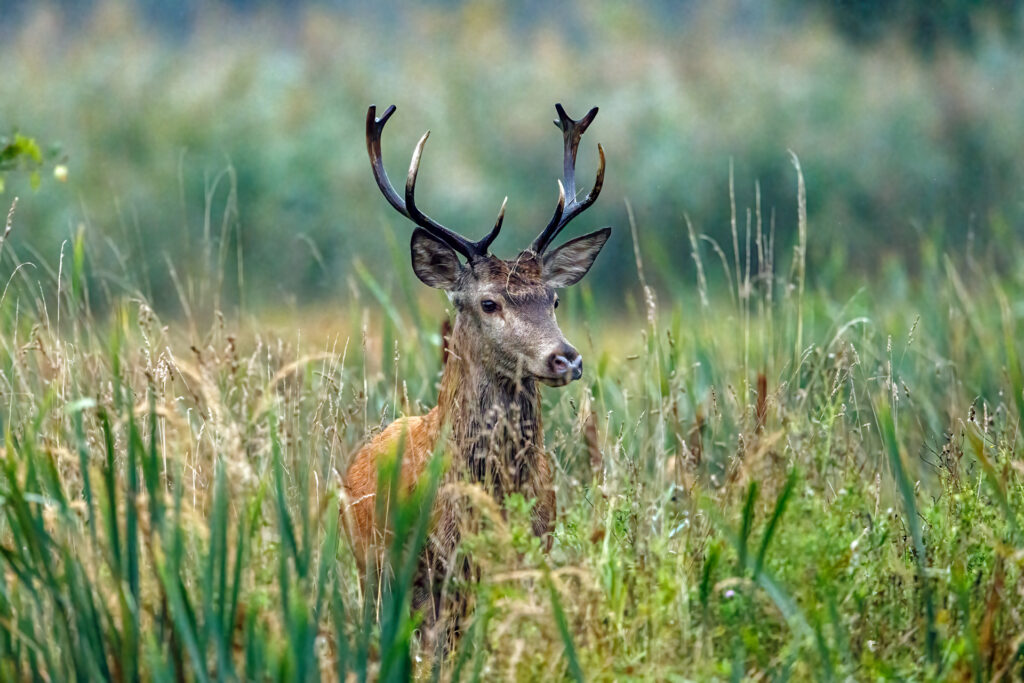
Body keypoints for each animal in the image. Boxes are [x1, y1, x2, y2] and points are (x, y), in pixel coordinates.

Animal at [344, 100, 606, 643]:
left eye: (553, 299)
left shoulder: (535, 550)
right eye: (489, 302)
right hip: (371, 567)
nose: (565, 358)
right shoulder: (432, 568)